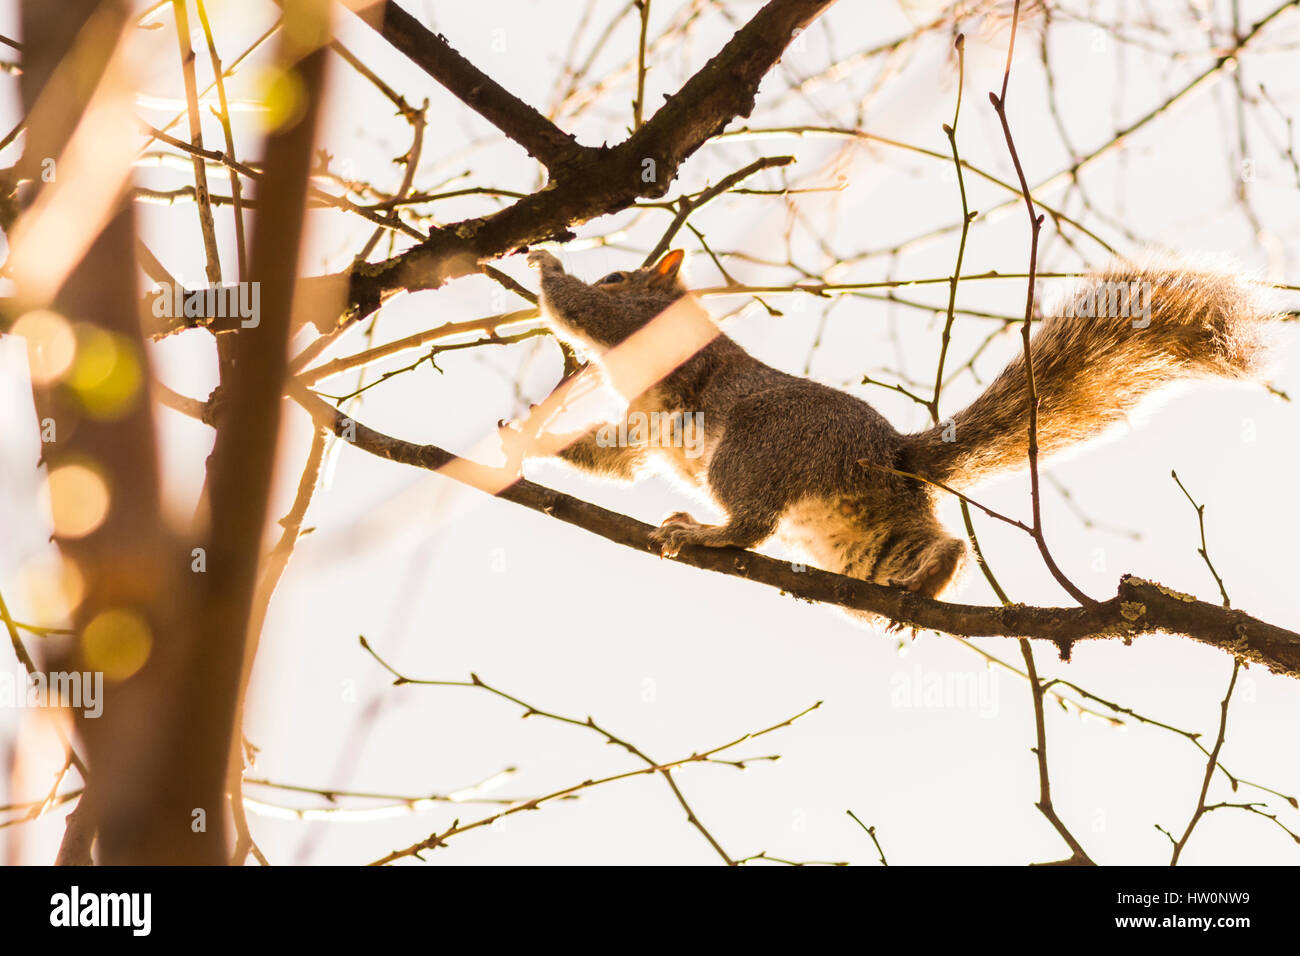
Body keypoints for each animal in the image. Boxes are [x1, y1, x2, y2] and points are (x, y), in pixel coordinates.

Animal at [517, 251, 1268, 600]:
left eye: (618, 276)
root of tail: (892, 451)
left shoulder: (638, 333)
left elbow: (583, 311)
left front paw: (545, 265)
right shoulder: (638, 429)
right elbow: (613, 459)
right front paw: (519, 440)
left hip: (756, 449)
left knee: (752, 523)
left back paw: (705, 533)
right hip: (866, 526)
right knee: (922, 548)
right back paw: (930, 577)